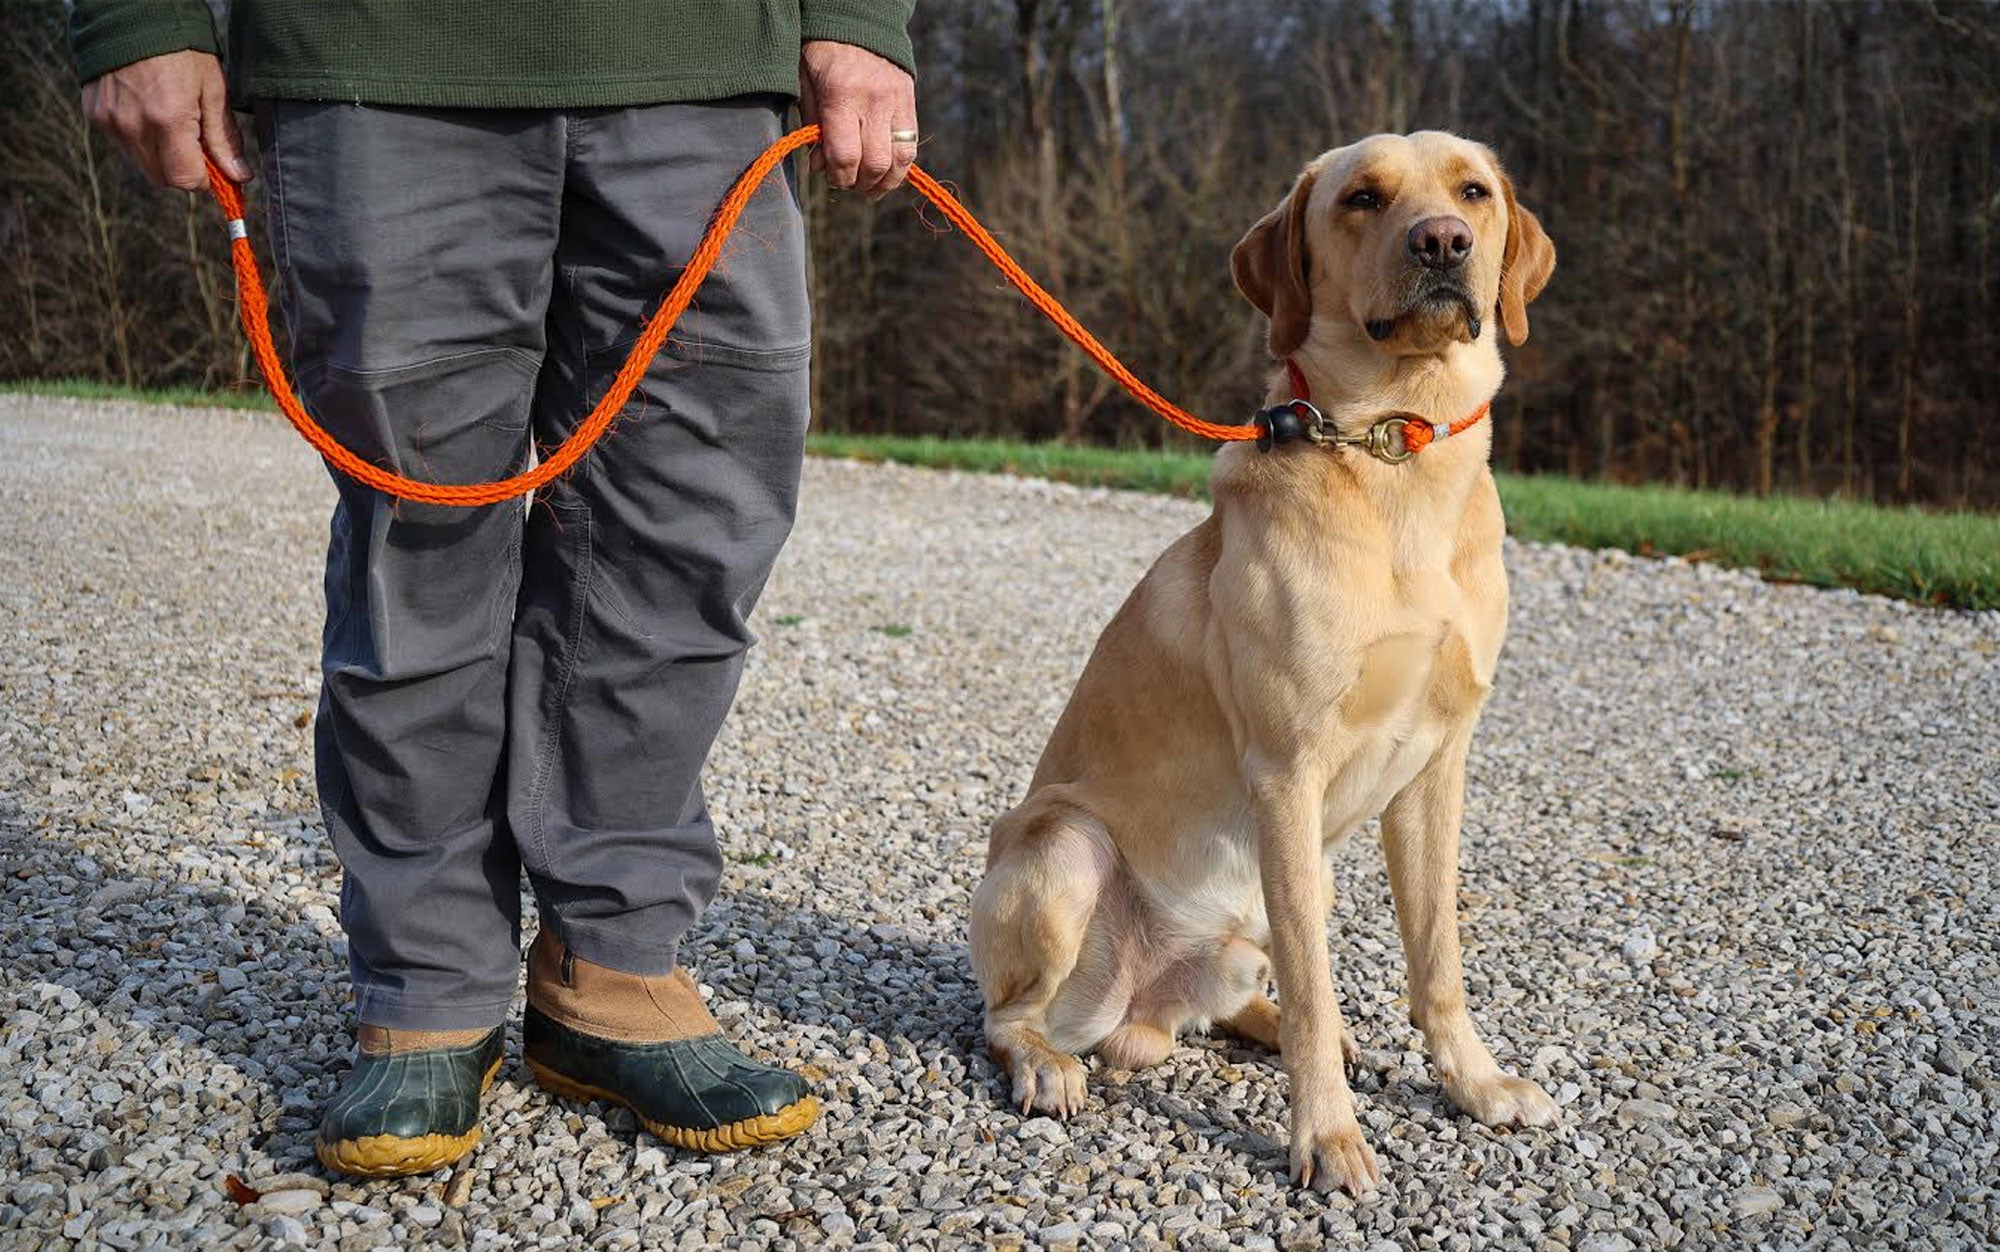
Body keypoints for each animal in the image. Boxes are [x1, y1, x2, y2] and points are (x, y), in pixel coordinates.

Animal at [968, 132, 1560, 1192]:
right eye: (1363, 197)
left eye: (1473, 193)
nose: (1443, 242)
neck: (1395, 444)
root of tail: (1139, 1014)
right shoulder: (1288, 773)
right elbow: (1323, 992)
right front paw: (1327, 1137)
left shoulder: (1437, 769)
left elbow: (1437, 960)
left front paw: (1478, 1086)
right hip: (1067, 850)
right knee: (1008, 1016)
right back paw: (1045, 1065)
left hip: (1272, 902)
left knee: (1259, 985)